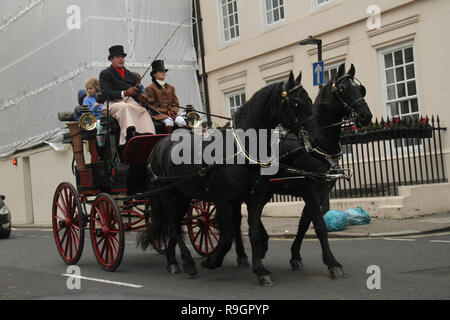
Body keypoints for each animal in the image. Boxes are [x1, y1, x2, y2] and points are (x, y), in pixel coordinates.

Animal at [139, 70, 314, 282]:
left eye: (309, 99)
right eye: (296, 102)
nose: (314, 134)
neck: (240, 147)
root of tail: (157, 146)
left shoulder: (254, 197)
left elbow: (253, 233)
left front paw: (260, 270)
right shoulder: (223, 200)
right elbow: (227, 236)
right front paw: (211, 261)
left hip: (183, 195)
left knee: (174, 224)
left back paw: (172, 260)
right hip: (166, 193)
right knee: (172, 224)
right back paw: (187, 262)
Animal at [232, 63, 372, 282]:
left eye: (360, 89)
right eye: (342, 90)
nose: (366, 116)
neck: (317, 145)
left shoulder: (321, 191)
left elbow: (305, 224)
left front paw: (295, 256)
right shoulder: (309, 190)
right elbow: (320, 226)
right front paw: (332, 263)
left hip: (265, 191)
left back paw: (262, 245)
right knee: (236, 221)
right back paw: (243, 254)